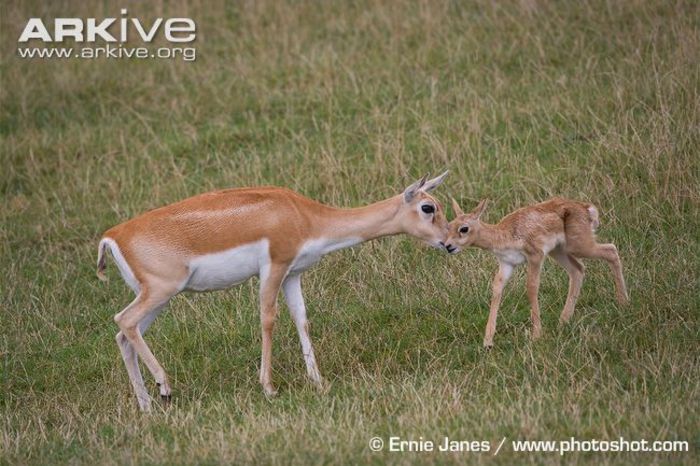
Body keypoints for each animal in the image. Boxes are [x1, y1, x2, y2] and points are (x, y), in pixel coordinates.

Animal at [97, 173, 448, 410]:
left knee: (124, 334)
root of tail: (112, 236)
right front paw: (269, 387)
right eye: (428, 207)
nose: (449, 241)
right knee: (123, 320)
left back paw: (146, 405)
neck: (305, 216)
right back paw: (165, 387)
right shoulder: (274, 267)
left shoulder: (293, 274)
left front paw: (319, 382)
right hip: (161, 291)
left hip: (158, 297)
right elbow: (268, 319)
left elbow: (301, 319)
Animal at [446, 198, 632, 348]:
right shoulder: (506, 264)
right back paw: (563, 321)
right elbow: (497, 289)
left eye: (464, 228)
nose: (448, 246)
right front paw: (488, 342)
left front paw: (536, 335)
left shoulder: (535, 256)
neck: (506, 233)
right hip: (559, 251)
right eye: (449, 225)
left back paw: (623, 303)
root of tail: (586, 208)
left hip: (579, 247)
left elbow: (532, 287)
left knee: (611, 250)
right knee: (578, 270)